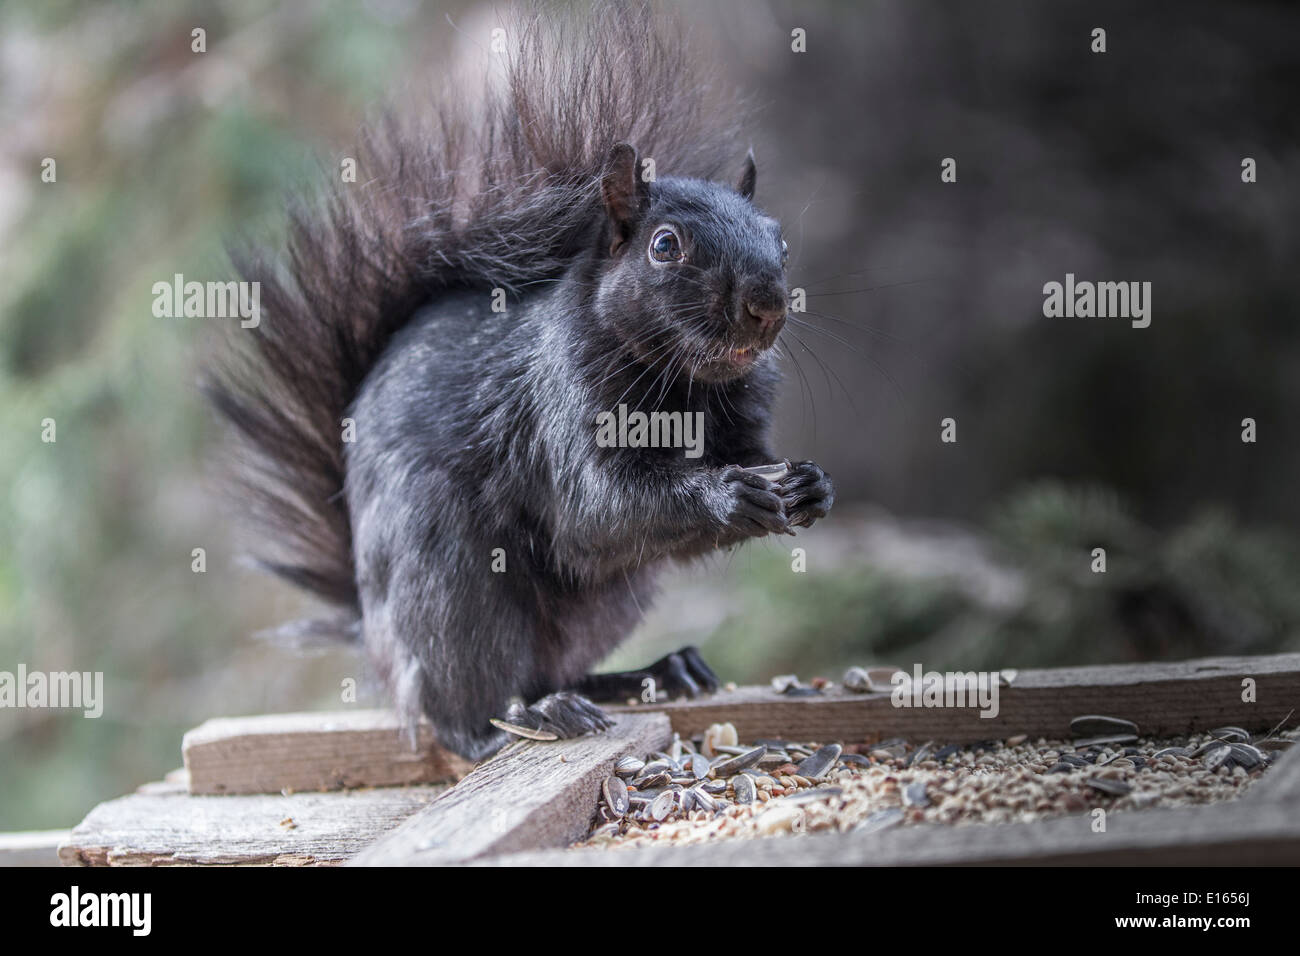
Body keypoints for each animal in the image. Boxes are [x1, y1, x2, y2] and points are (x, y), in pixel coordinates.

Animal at [202, 3, 832, 759]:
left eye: (782, 241)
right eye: (665, 246)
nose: (767, 305)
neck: (686, 386)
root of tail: (378, 640)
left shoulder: (742, 410)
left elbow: (746, 458)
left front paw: (806, 484)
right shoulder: (559, 402)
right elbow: (595, 510)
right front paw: (729, 494)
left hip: (608, 606)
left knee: (551, 669)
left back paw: (648, 675)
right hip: (451, 581)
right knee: (465, 712)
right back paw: (529, 718)